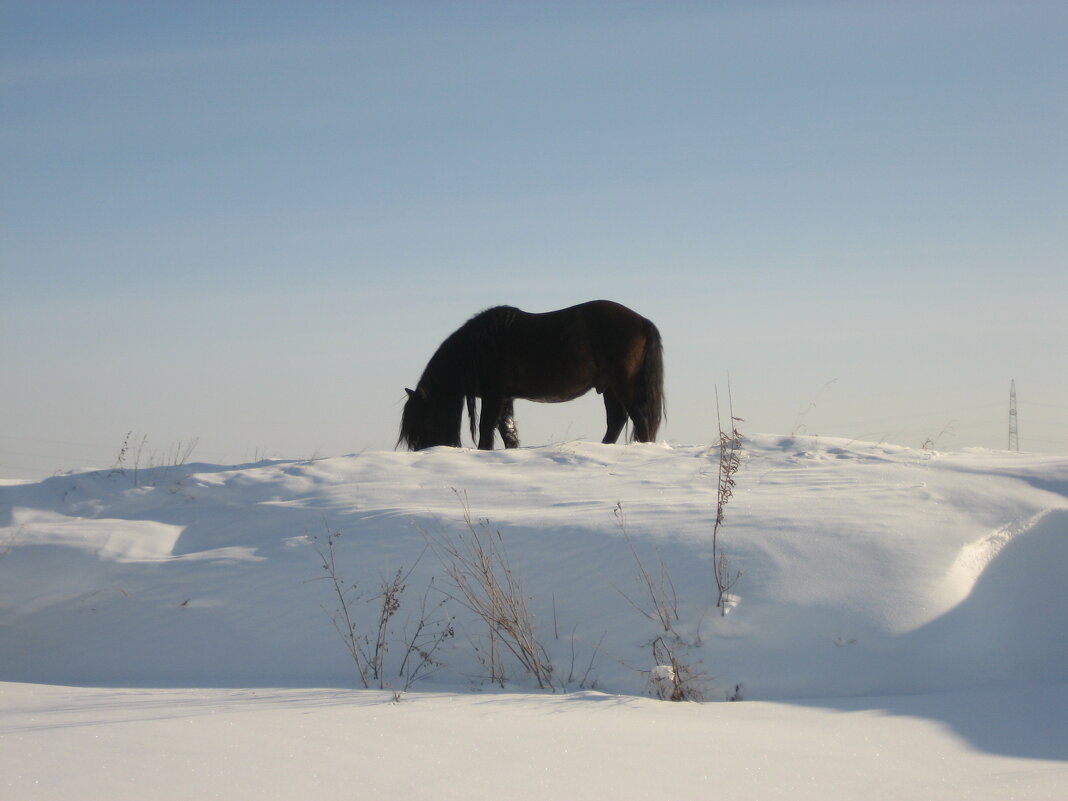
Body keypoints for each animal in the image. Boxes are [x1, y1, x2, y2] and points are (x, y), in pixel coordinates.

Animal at [397, 301, 662, 452]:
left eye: (424, 420)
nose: (423, 451)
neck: (479, 347)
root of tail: (641, 321)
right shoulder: (505, 397)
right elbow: (507, 430)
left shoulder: (494, 395)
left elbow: (486, 427)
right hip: (609, 387)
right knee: (617, 420)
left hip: (623, 384)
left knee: (638, 417)